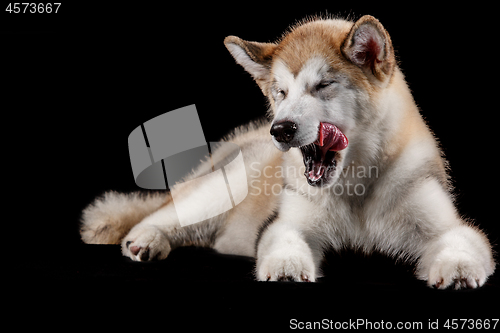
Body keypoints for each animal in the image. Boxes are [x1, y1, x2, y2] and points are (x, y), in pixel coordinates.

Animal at [80, 15, 494, 288]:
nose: (280, 129)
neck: (356, 190)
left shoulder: (446, 224)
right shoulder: (288, 222)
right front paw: (287, 269)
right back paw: (147, 239)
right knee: (165, 214)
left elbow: (459, 241)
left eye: (323, 85)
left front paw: (457, 269)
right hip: (218, 191)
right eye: (280, 92)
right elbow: (285, 241)